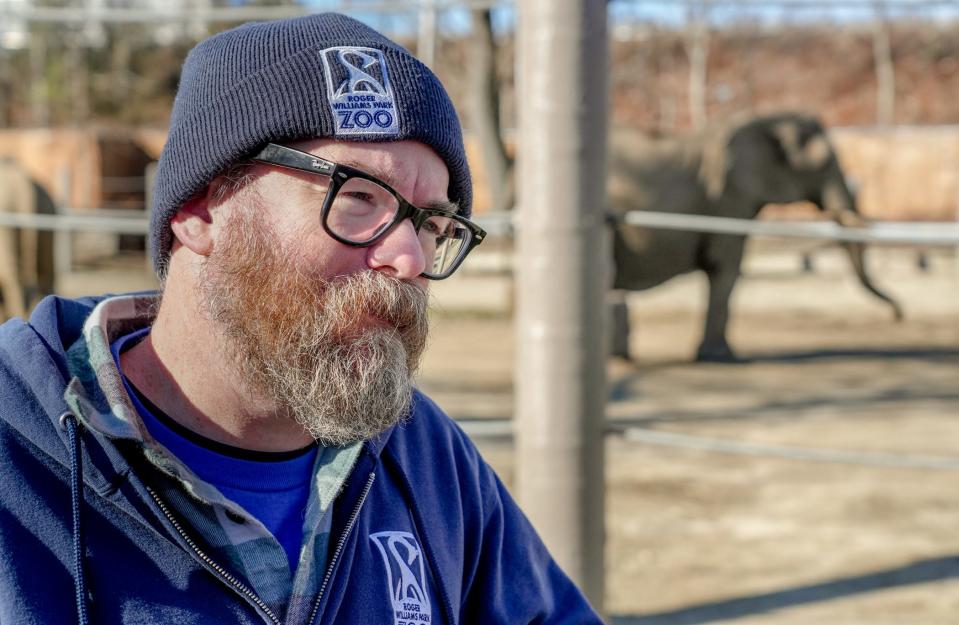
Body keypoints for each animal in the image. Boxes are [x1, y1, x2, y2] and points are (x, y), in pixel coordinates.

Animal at [612, 112, 904, 360]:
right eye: (822, 164)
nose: (898, 315)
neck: (762, 119)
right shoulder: (729, 200)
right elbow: (726, 267)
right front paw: (720, 356)